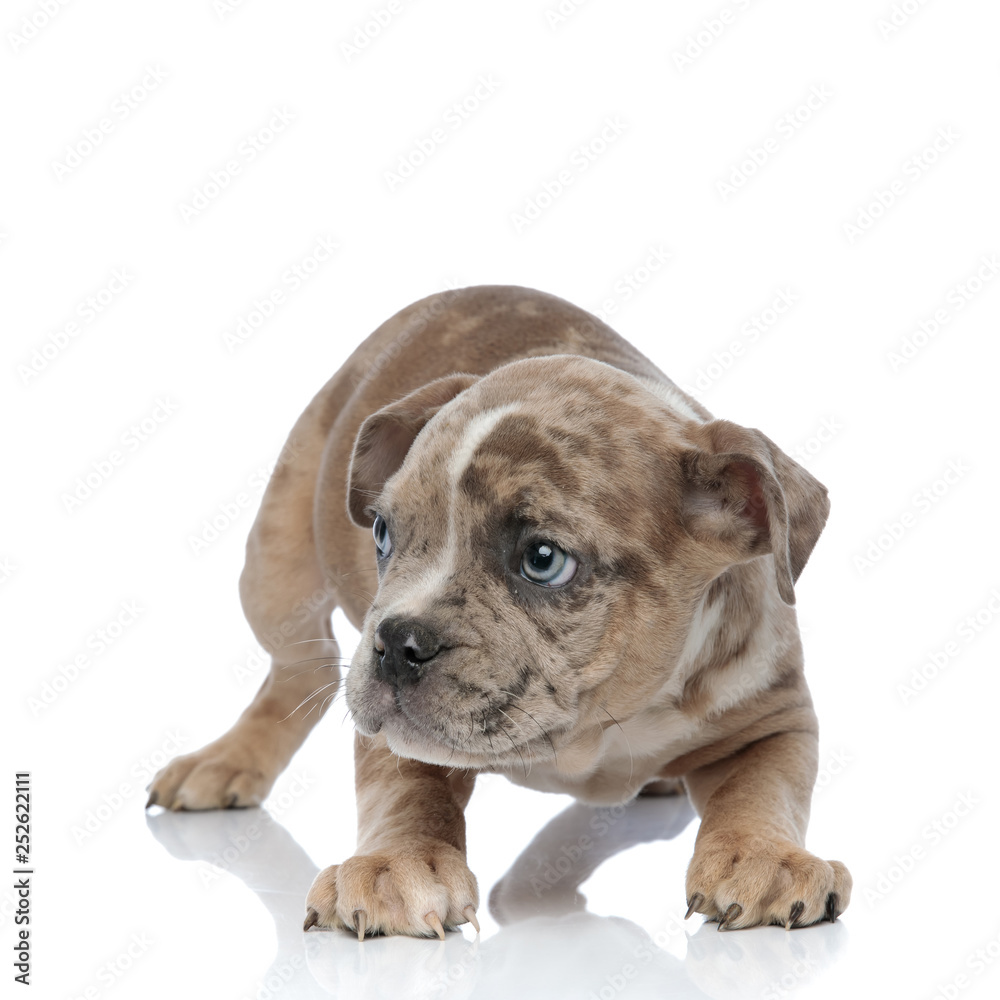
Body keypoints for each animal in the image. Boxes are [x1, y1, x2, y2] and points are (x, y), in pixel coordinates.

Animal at [148, 284, 852, 936]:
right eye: (381, 532)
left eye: (542, 559)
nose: (395, 643)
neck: (600, 726)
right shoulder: (396, 737)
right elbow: (407, 790)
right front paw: (395, 864)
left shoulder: (774, 717)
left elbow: (763, 788)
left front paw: (765, 857)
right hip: (277, 564)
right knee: (302, 667)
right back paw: (226, 759)